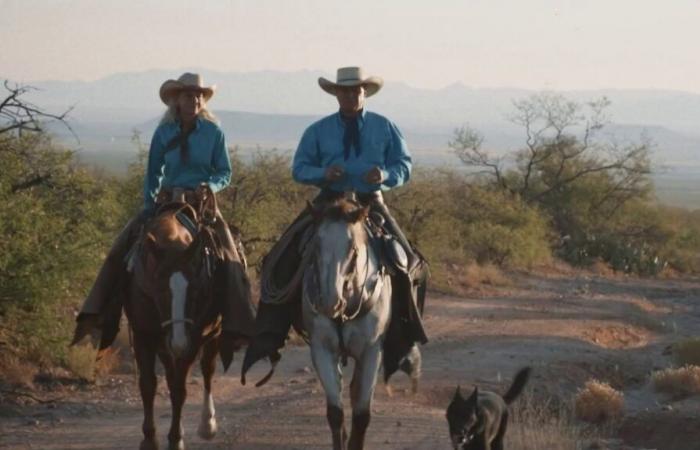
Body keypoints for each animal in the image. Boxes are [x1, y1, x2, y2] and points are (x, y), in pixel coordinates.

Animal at [124, 204, 223, 450]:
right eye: (159, 289)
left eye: (196, 290)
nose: (179, 342)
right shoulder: (143, 334)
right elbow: (148, 384)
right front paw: (149, 439)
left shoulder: (193, 338)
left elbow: (179, 390)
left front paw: (176, 439)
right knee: (170, 375)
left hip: (213, 333)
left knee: (207, 369)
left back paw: (207, 424)